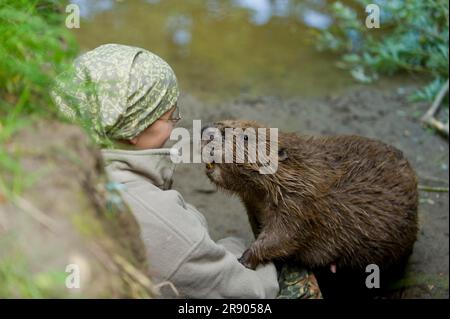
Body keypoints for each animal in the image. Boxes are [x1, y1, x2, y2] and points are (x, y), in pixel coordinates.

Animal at [200, 120, 418, 282]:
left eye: (245, 137)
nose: (204, 129)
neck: (302, 174)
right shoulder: (254, 204)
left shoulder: (301, 203)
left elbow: (284, 235)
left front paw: (245, 259)